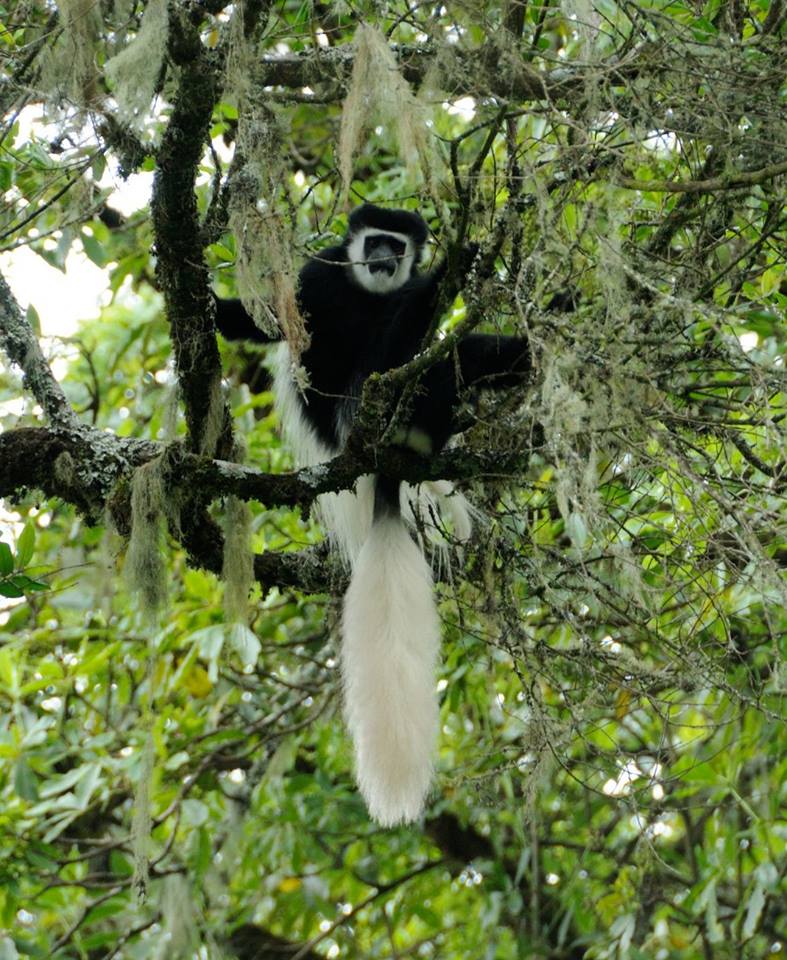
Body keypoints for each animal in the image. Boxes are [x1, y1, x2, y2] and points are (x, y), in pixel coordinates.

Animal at [215, 202, 528, 824]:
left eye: (396, 244)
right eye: (374, 241)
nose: (384, 258)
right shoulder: (318, 277)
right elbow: (269, 321)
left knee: (455, 352)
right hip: (365, 398)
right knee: (397, 355)